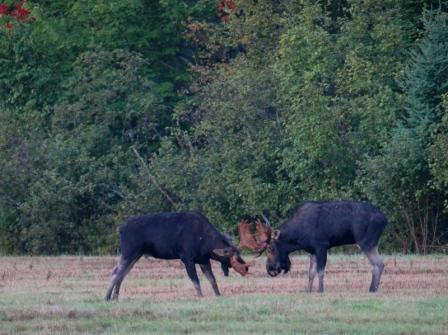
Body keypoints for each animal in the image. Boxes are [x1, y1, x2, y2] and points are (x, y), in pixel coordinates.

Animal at [106, 211, 250, 300]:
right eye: (233, 256)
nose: (246, 267)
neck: (205, 244)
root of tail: (121, 229)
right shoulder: (187, 257)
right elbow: (195, 280)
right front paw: (200, 297)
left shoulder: (203, 260)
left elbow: (213, 280)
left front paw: (218, 295)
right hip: (129, 251)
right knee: (116, 271)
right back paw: (107, 297)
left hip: (136, 254)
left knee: (122, 273)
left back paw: (115, 297)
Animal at [238, 201, 388, 292]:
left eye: (270, 248)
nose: (270, 269)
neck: (298, 237)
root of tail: (385, 220)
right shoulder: (312, 250)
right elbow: (311, 272)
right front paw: (308, 290)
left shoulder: (322, 246)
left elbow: (320, 271)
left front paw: (320, 290)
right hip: (371, 243)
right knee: (379, 264)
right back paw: (373, 288)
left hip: (366, 241)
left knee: (379, 264)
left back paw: (373, 289)